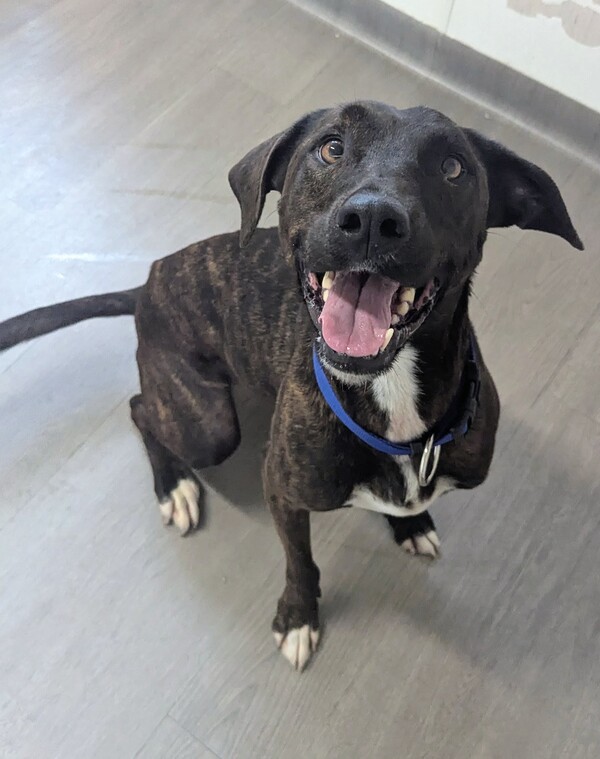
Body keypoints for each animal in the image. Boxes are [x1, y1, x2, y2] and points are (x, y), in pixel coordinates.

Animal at [0, 101, 583, 671]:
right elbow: (300, 561)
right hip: (208, 426)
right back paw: (175, 486)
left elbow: (404, 505)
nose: (373, 218)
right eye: (331, 147)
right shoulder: (281, 488)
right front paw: (298, 617)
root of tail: (148, 280)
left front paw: (411, 524)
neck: (389, 392)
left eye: (453, 167)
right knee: (142, 407)